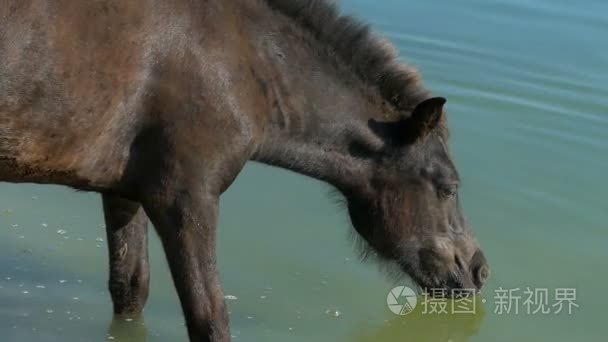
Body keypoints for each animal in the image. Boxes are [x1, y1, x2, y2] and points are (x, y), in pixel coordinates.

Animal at [0, 0, 490, 342]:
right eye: (448, 186)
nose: (479, 270)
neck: (246, 68)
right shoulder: (186, 199)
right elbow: (210, 318)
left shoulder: (124, 191)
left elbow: (130, 288)